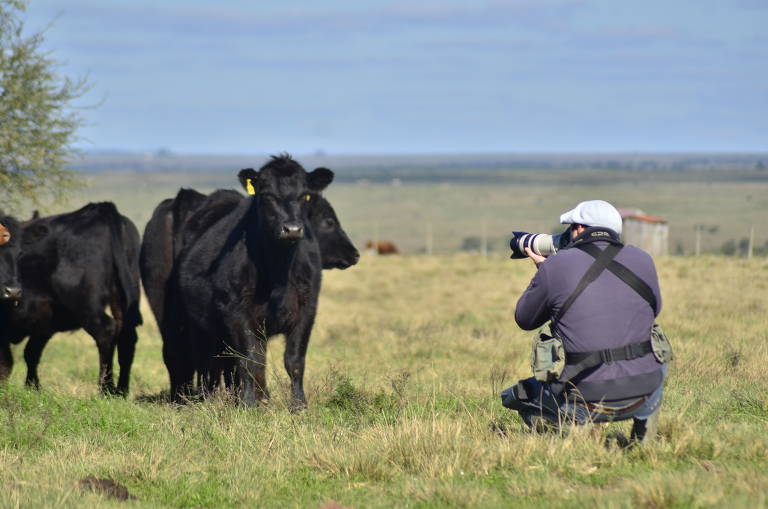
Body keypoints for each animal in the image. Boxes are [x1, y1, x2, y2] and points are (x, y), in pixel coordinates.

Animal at [0, 202, 142, 392]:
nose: (13, 291)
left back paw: (106, 389)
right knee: (127, 336)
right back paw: (121, 391)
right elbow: (30, 354)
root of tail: (100, 210)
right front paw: (33, 387)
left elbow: (8, 362)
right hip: (122, 297)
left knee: (106, 331)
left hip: (85, 303)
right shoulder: (44, 321)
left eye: (20, 253)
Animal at [165, 154, 352, 404]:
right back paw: (209, 397)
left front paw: (298, 404)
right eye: (267, 195)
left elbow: (294, 361)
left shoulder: (307, 309)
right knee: (208, 361)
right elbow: (248, 359)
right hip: (200, 325)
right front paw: (247, 403)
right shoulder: (236, 311)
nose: (292, 229)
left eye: (304, 195)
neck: (278, 272)